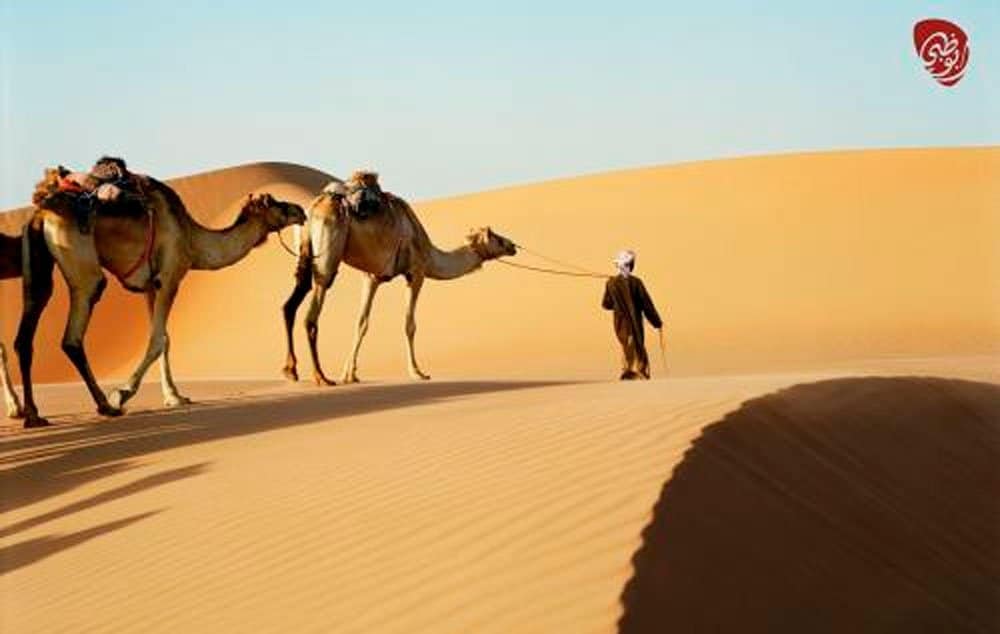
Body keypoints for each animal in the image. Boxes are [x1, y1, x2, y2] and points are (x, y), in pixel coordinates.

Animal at [14, 168, 304, 424]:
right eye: (277, 203)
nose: (300, 211)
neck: (193, 240)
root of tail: (41, 213)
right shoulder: (170, 277)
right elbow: (157, 340)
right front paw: (122, 393)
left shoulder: (150, 286)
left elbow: (165, 338)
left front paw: (174, 397)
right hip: (82, 266)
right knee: (73, 336)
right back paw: (106, 405)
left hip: (37, 267)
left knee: (26, 333)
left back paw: (33, 415)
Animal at [280, 170, 516, 382]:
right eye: (496, 237)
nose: (513, 245)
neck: (428, 252)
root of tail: (313, 209)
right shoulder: (416, 272)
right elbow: (409, 324)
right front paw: (418, 372)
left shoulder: (372, 276)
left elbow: (361, 322)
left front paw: (350, 374)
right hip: (327, 256)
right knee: (312, 313)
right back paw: (320, 377)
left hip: (304, 251)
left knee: (290, 304)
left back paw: (291, 370)